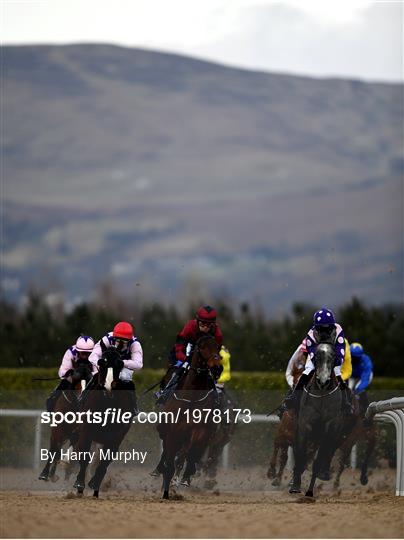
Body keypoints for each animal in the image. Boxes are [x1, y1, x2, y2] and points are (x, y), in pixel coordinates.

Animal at [73, 346, 133, 498]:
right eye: (101, 362)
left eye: (120, 364)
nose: (108, 387)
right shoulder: (86, 430)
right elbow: (84, 455)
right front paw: (79, 484)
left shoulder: (116, 436)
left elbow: (105, 460)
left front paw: (94, 484)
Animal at [156, 336, 223, 500]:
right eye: (202, 346)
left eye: (218, 347)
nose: (217, 368)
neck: (191, 397)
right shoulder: (173, 431)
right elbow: (170, 456)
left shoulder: (200, 430)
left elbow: (189, 454)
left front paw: (184, 479)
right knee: (167, 453)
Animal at [290, 344, 344, 496]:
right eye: (317, 357)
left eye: (332, 357)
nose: (323, 381)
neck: (322, 395)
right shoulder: (304, 425)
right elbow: (301, 454)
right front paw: (295, 485)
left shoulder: (329, 428)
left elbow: (318, 460)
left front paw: (310, 490)